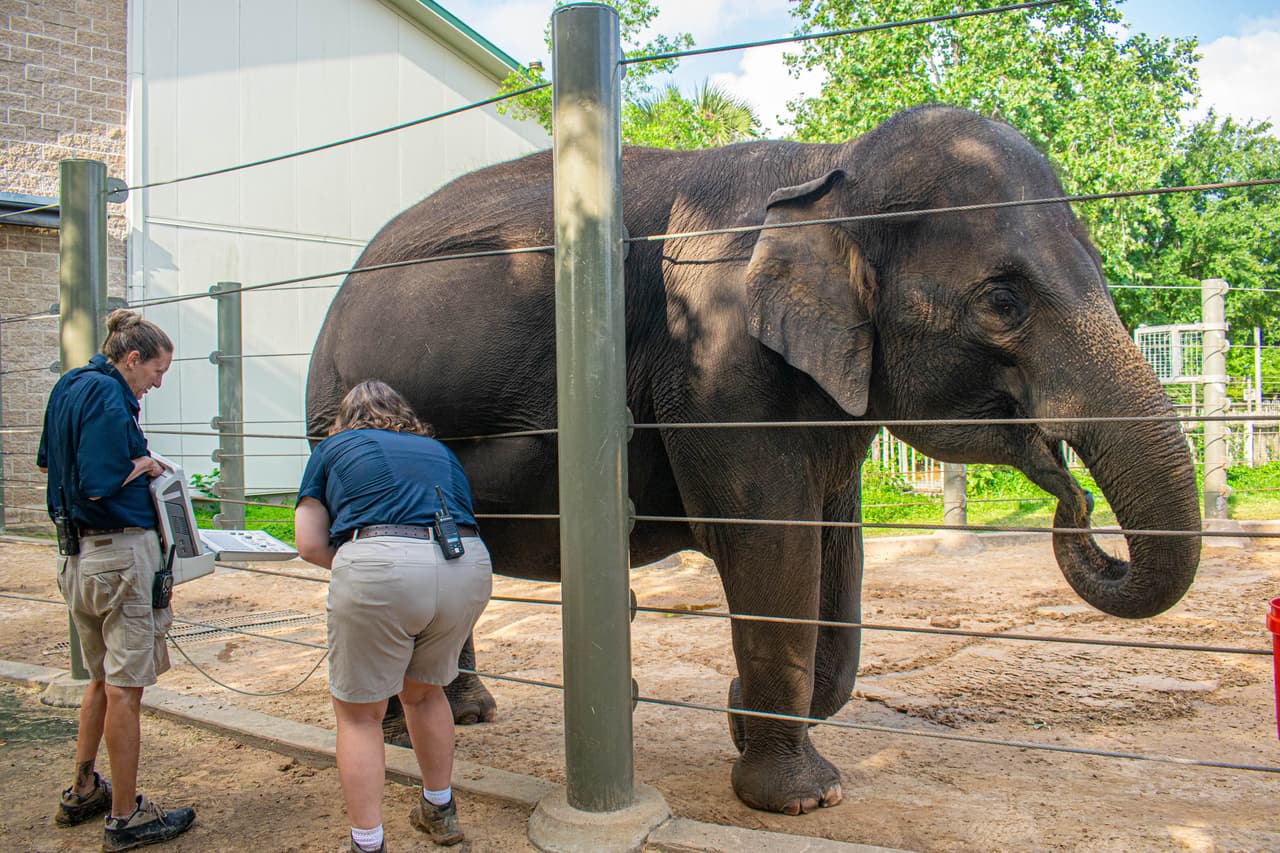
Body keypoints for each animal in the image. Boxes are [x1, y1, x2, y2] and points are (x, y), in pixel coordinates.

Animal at [305, 105, 1200, 815]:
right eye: (1003, 302)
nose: (1073, 504)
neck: (827, 170)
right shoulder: (718, 366)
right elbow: (772, 545)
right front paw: (800, 798)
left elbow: (838, 560)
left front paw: (749, 719)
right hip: (335, 416)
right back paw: (405, 727)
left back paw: (468, 711)